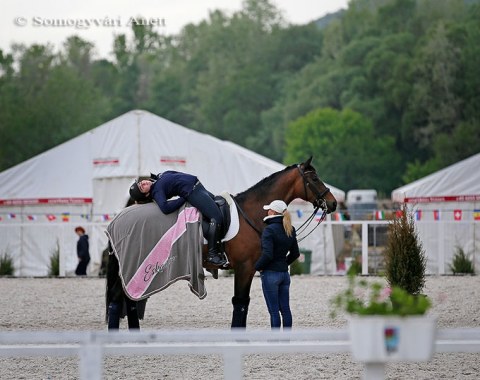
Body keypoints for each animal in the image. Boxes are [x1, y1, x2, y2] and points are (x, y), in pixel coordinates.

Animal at [106, 157, 336, 330]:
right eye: (314, 178)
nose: (332, 203)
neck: (251, 212)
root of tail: (117, 220)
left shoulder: (248, 268)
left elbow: (242, 303)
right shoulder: (245, 267)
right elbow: (240, 302)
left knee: (124, 298)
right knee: (121, 297)